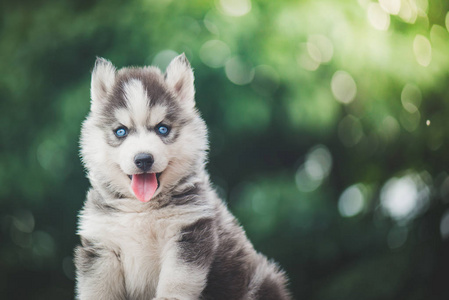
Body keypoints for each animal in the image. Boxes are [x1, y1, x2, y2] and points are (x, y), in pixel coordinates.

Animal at [75, 54, 288, 300]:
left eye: (163, 129)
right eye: (121, 131)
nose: (143, 159)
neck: (142, 209)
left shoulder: (187, 235)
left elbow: (175, 285)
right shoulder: (101, 245)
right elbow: (98, 289)